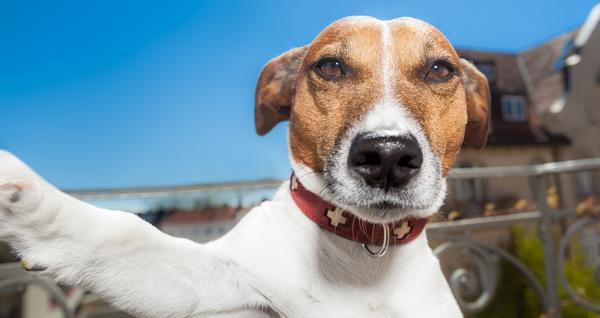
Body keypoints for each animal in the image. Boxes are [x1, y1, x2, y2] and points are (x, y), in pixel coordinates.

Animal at [0, 16, 488, 316]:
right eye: (330, 66)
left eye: (440, 69)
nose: (387, 154)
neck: (364, 259)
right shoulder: (214, 284)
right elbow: (127, 234)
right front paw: (23, 194)